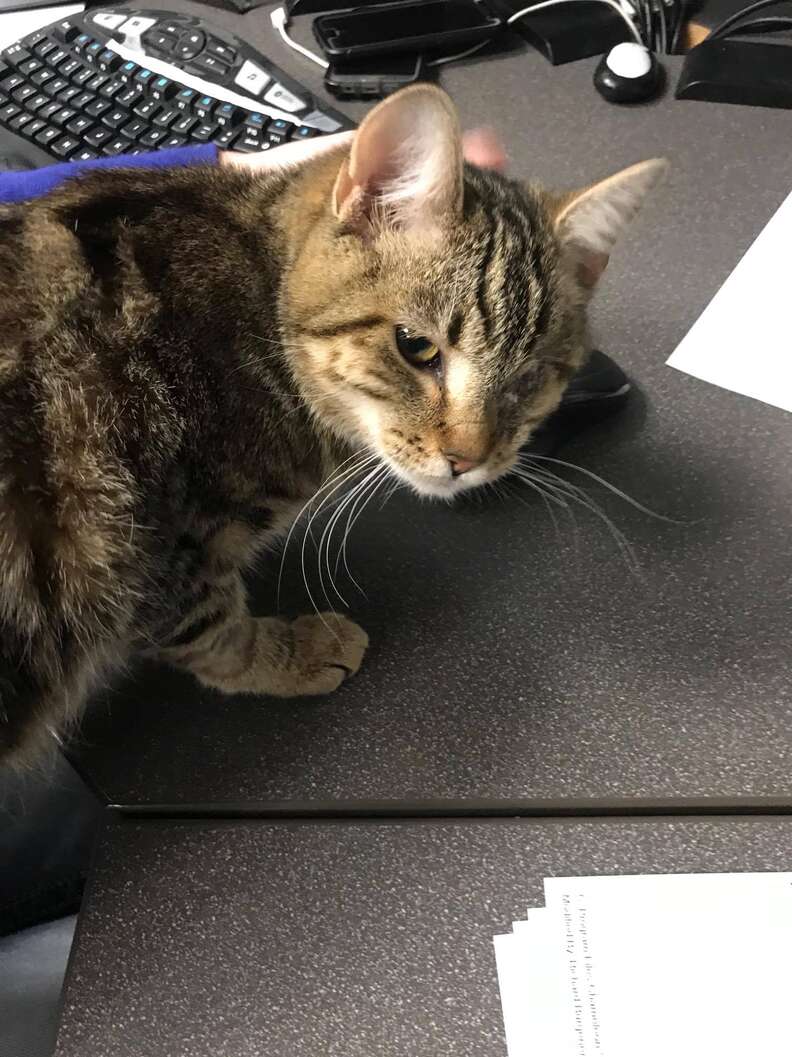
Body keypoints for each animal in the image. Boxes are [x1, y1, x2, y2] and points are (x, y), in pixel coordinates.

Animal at [0, 84, 664, 761]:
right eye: (416, 347)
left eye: (530, 379)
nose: (468, 459)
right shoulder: (163, 548)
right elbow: (215, 632)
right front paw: (291, 654)